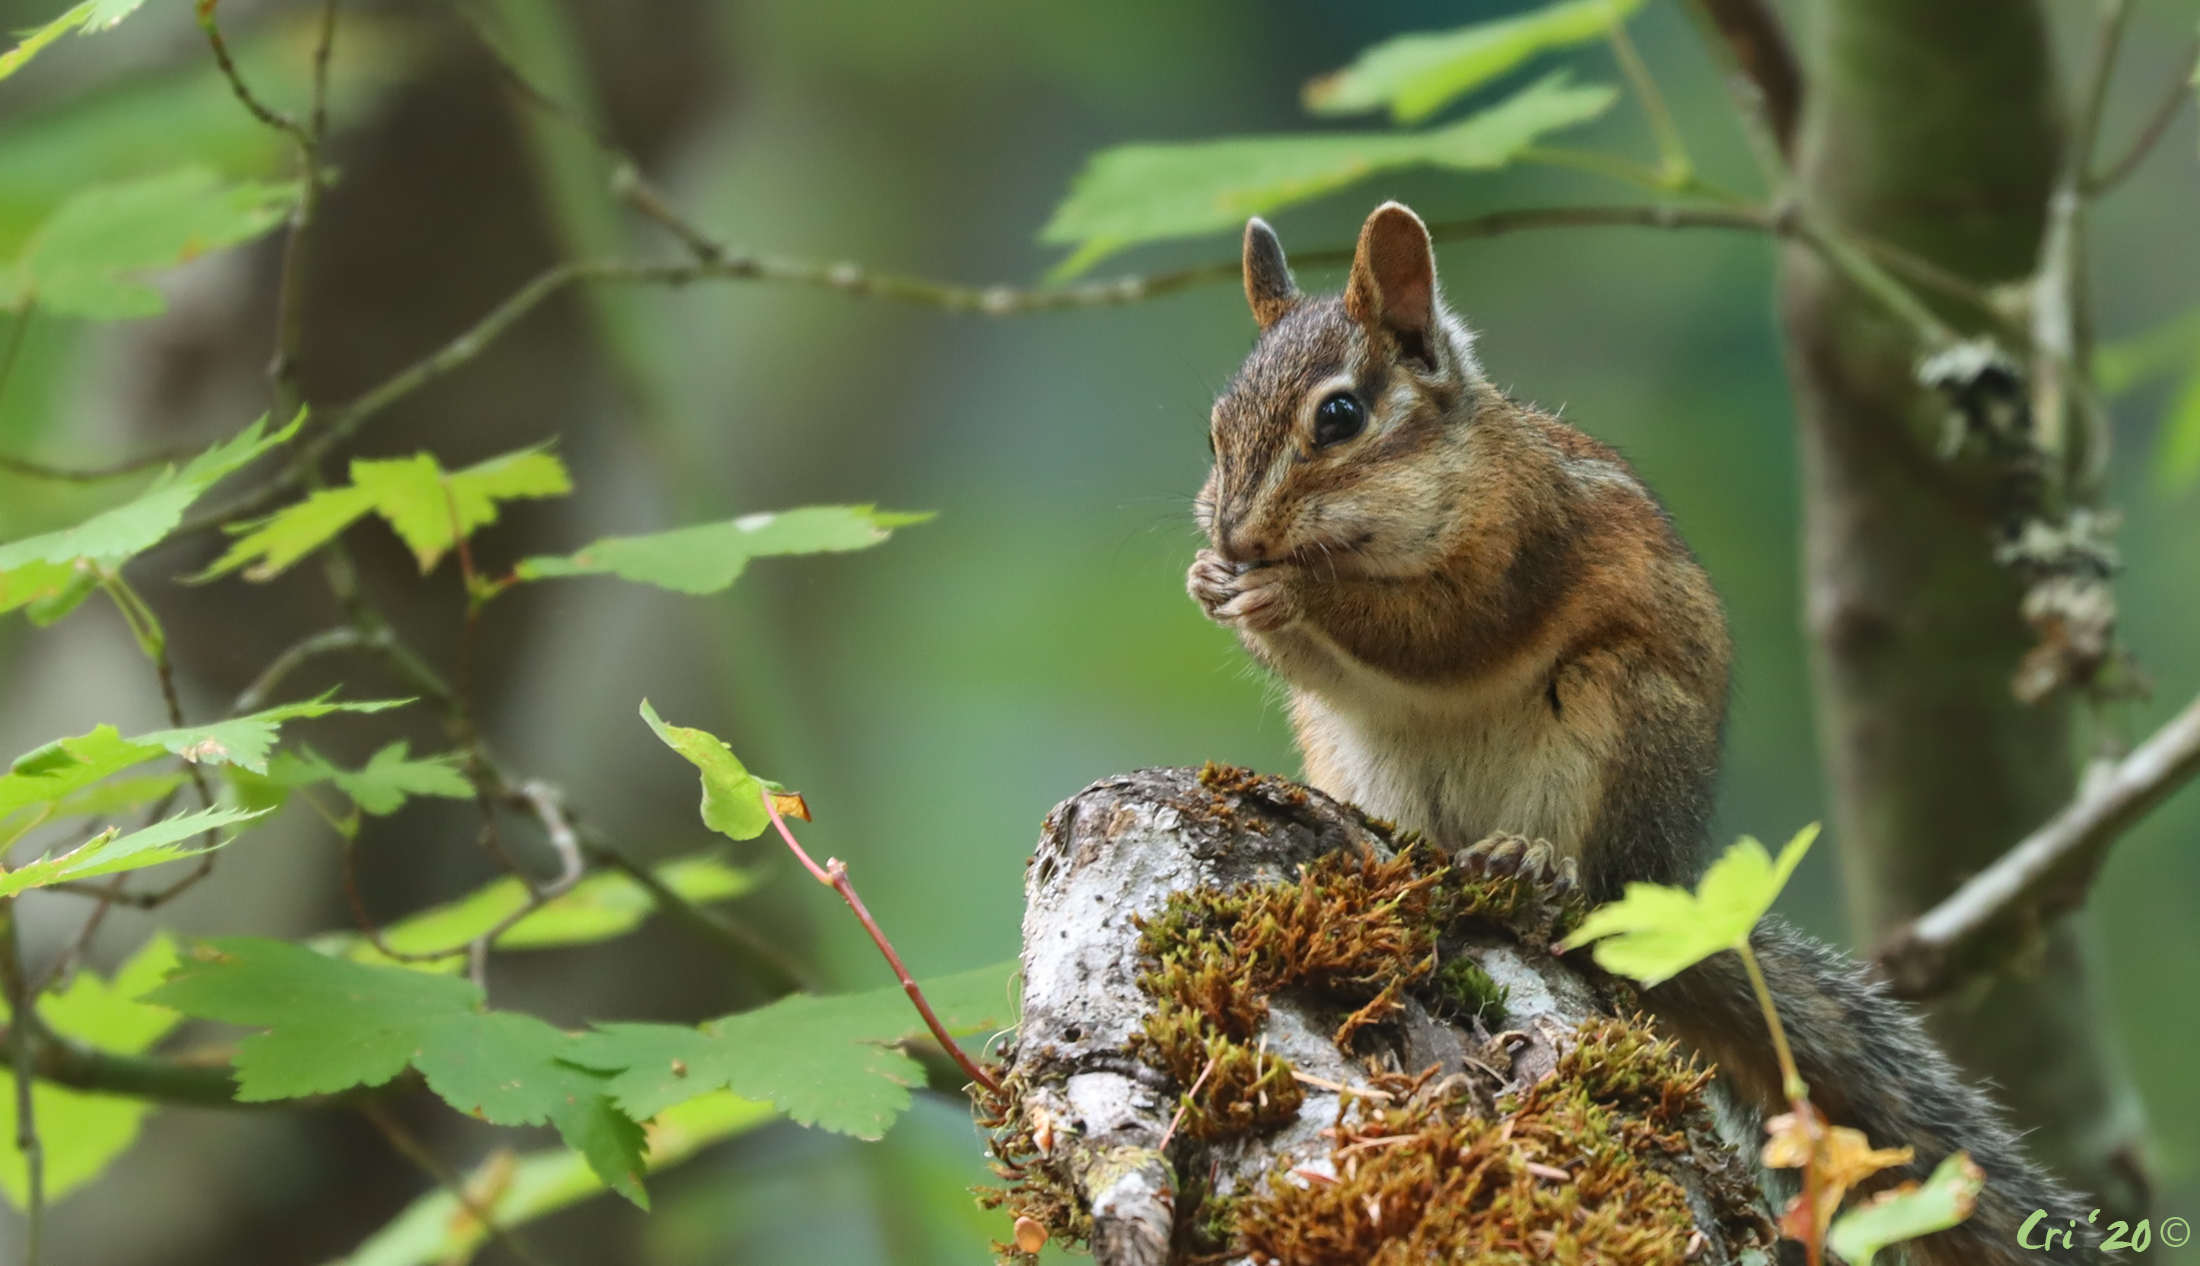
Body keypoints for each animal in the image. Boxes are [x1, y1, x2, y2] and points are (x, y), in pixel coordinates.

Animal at [1187, 200, 2087, 1265]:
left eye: (1339, 418)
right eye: (1215, 428)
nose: (1235, 537)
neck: (1442, 474)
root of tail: (1659, 875)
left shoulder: (1520, 538)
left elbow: (1441, 629)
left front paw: (1289, 592)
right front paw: (1213, 581)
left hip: (1613, 719)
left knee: (1582, 894)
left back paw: (1533, 862)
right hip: (1355, 754)